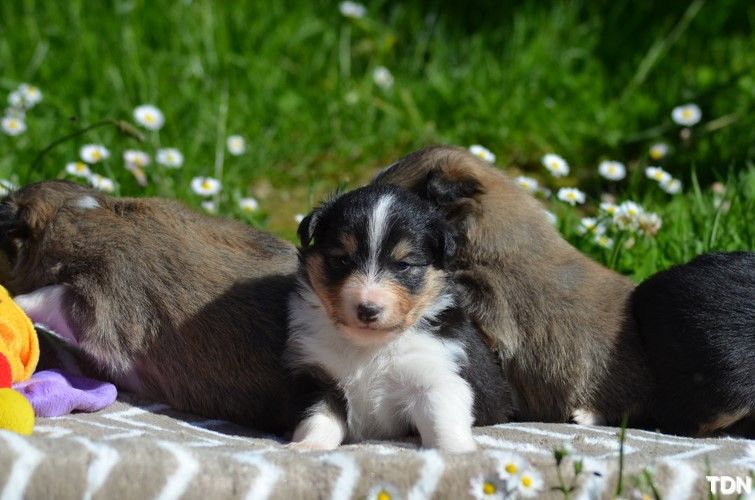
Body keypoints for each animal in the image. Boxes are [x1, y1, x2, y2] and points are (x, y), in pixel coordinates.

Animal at [284, 184, 512, 454]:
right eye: (342, 259)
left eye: (403, 264)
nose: (368, 309)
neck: (368, 348)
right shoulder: (318, 378)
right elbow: (318, 417)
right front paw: (309, 446)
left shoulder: (435, 376)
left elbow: (442, 421)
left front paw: (456, 453)